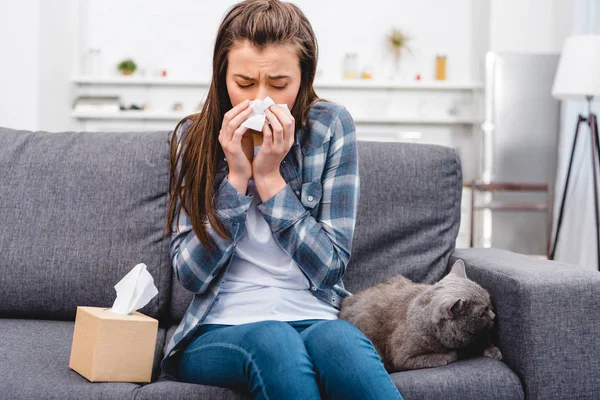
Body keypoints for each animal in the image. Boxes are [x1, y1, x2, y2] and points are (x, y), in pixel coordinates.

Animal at [340, 260, 504, 372]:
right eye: (481, 313)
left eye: (489, 304)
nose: (493, 315)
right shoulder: (404, 359)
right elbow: (448, 356)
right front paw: (452, 353)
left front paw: (493, 351)